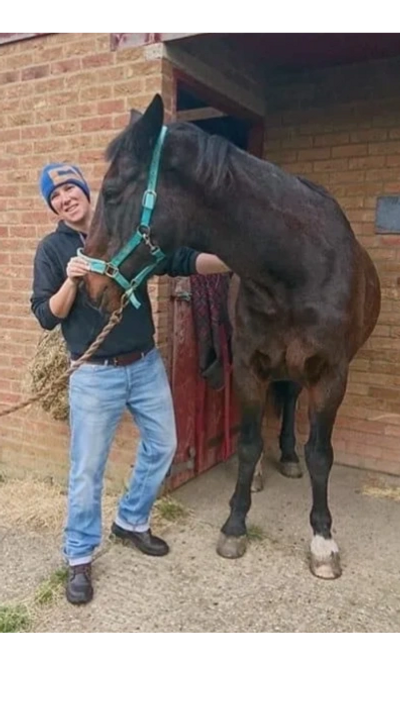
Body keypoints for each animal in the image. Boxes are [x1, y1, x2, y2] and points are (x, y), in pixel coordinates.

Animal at [82, 94, 381, 579]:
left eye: (111, 193)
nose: (90, 288)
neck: (297, 269)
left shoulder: (331, 376)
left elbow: (321, 454)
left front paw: (323, 542)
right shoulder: (248, 366)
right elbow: (246, 444)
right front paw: (235, 525)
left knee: (292, 402)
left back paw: (289, 460)